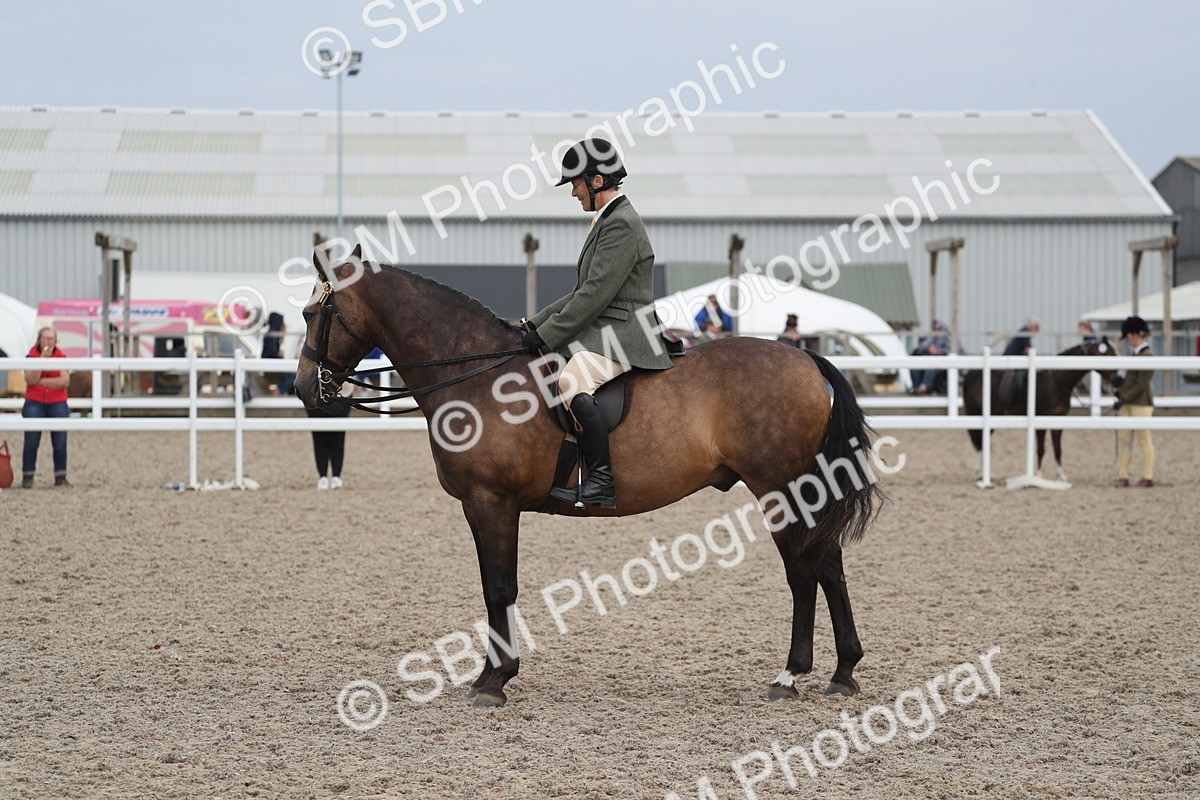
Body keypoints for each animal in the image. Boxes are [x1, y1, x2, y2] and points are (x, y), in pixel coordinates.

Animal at [294, 248, 884, 707]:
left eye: (312, 313)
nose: (303, 388)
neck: (478, 376)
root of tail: (808, 361)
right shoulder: (485, 506)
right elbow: (494, 589)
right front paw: (494, 674)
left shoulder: (491, 502)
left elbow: (499, 587)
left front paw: (493, 682)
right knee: (829, 563)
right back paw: (843, 672)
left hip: (780, 489)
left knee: (803, 572)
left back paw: (790, 675)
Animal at [963, 340, 1117, 482]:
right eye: (1106, 354)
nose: (1117, 377)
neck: (1056, 381)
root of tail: (971, 374)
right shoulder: (1041, 421)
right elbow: (1041, 449)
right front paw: (1039, 475)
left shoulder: (1058, 421)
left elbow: (1058, 449)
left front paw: (1061, 475)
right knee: (978, 442)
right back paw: (979, 473)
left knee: (982, 441)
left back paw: (985, 474)